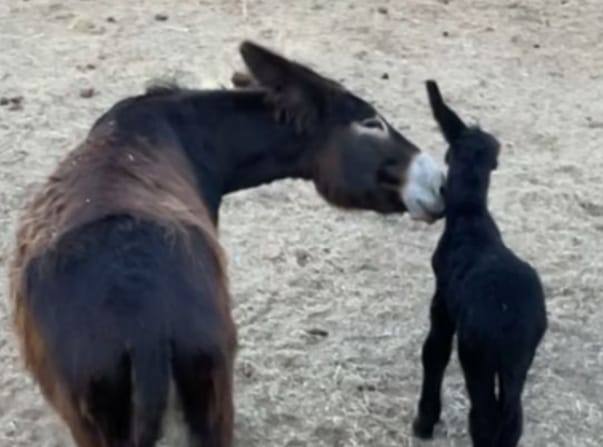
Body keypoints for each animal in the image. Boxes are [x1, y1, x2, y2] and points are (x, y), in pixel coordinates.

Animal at [416, 81, 548, 447]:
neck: (471, 215)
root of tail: (509, 321)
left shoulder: (442, 301)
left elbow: (433, 352)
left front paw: (424, 422)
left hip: (477, 355)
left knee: (484, 416)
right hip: (520, 358)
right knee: (512, 418)